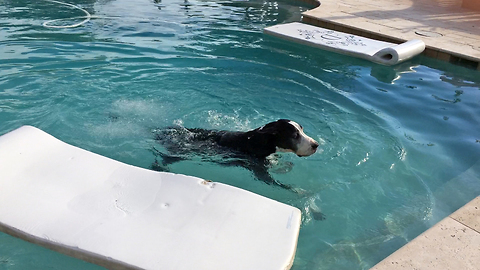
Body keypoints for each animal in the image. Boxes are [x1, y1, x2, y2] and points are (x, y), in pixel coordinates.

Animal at [152, 118, 318, 190]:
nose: (316, 145)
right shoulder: (259, 172)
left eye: (302, 130)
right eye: (295, 135)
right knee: (163, 158)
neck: (262, 140)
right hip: (178, 154)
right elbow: (287, 186)